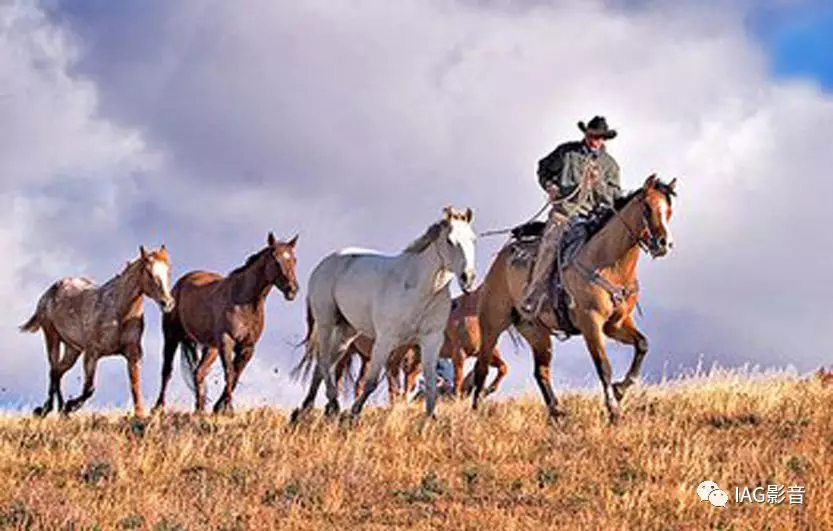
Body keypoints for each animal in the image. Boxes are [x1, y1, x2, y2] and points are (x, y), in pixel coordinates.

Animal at [19, 246, 174, 420]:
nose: (167, 303)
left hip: (72, 349)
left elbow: (135, 385)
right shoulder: (92, 354)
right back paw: (50, 409)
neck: (118, 313)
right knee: (53, 371)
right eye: (148, 272)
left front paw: (139, 415)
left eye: (168, 271)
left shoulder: (133, 353)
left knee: (58, 371)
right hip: (52, 337)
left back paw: (55, 409)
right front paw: (69, 406)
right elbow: (89, 389)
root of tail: (50, 291)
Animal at [153, 234, 300, 416]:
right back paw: (158, 407)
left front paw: (219, 408)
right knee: (167, 371)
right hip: (171, 336)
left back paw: (199, 409)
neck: (244, 302)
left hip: (211, 348)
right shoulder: (226, 341)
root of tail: (180, 284)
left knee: (198, 373)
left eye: (294, 259)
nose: (292, 290)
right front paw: (228, 409)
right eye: (275, 259)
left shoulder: (247, 347)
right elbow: (229, 373)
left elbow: (236, 376)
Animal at [290, 206, 474, 422]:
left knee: (321, 366)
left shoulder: (431, 340)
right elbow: (372, 382)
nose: (468, 278)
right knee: (324, 360)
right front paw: (353, 414)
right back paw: (333, 404)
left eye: (473, 239)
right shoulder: (386, 340)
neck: (419, 288)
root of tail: (324, 264)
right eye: (450, 241)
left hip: (347, 332)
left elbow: (430, 383)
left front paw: (431, 418)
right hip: (326, 321)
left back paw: (306, 408)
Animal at [334, 286, 508, 404]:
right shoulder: (458, 353)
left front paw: (487, 391)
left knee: (364, 382)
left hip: (370, 357)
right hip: (351, 353)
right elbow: (458, 381)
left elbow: (503, 368)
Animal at [468, 177, 676, 426]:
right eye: (646, 207)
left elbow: (642, 345)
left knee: (541, 371)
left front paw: (620, 390)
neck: (608, 263)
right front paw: (614, 411)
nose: (663, 243)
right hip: (492, 323)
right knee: (481, 367)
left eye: (669, 210)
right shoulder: (590, 322)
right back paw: (476, 413)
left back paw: (557, 413)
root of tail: (500, 259)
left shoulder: (616, 324)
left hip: (535, 331)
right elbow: (603, 366)